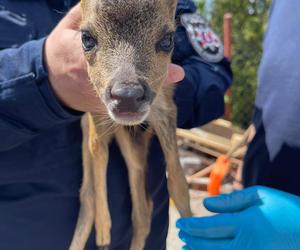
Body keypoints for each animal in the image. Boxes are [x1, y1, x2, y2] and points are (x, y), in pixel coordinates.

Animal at [70, 0, 191, 249]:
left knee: (143, 208)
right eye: (86, 38)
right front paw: (104, 231)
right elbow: (99, 152)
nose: (126, 96)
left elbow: (179, 182)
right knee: (88, 192)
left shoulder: (166, 106)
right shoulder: (96, 113)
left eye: (168, 39)